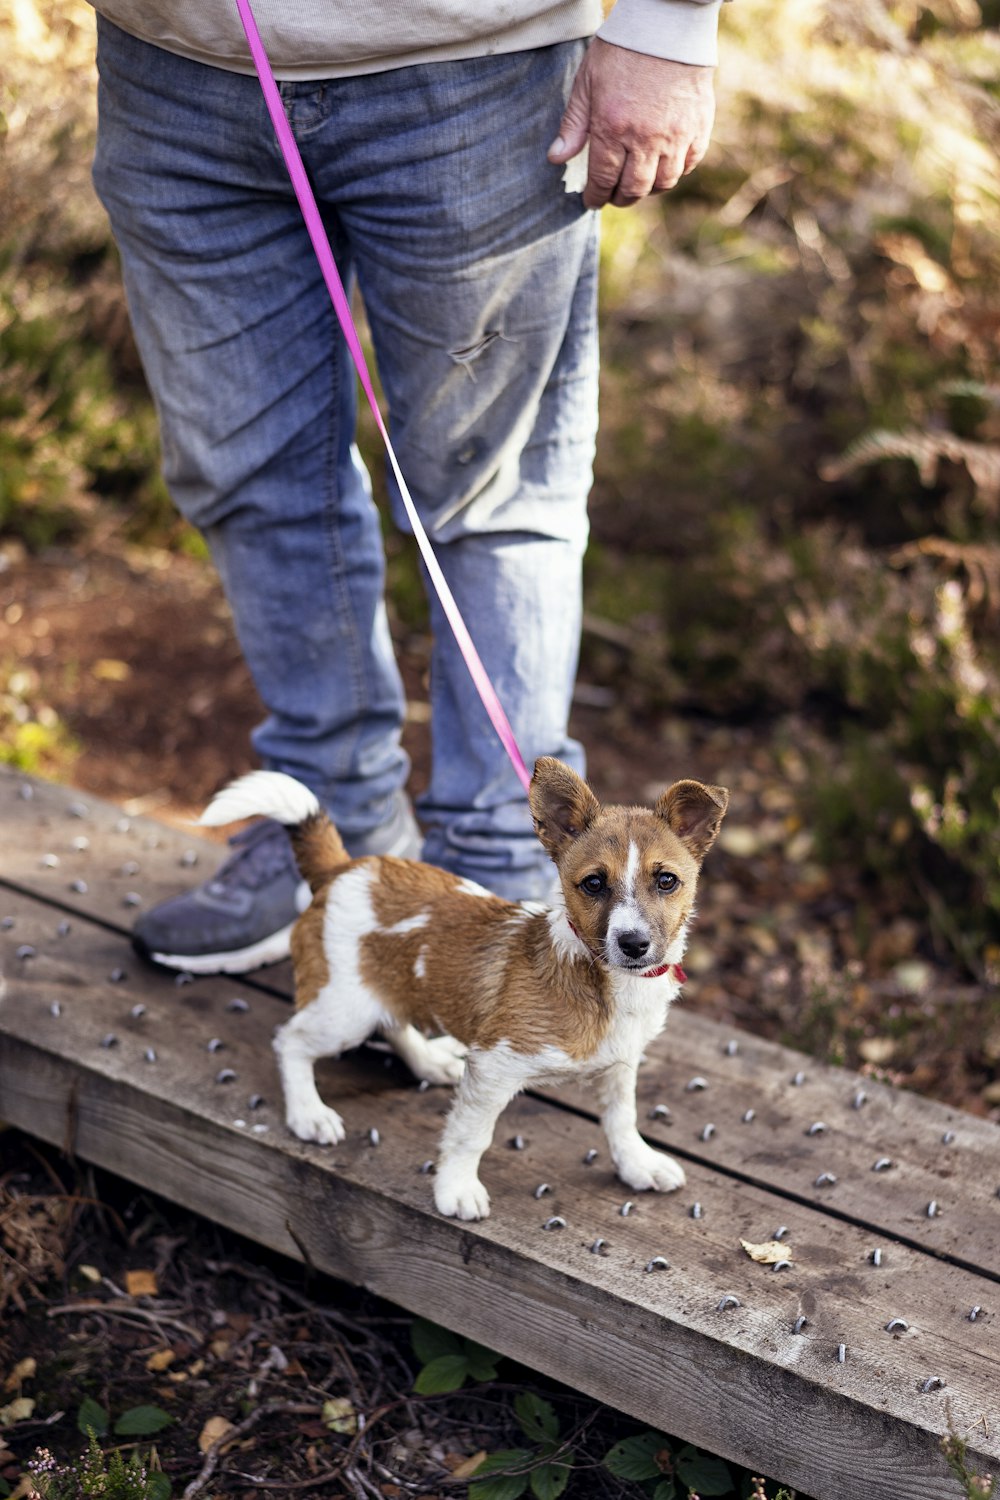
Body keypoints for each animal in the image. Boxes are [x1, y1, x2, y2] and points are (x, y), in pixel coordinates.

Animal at [199, 762, 728, 1218]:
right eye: (594, 884)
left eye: (667, 880)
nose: (634, 944)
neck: (601, 981)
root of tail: (341, 870)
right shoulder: (496, 1066)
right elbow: (472, 1135)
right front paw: (456, 1189)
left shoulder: (620, 1067)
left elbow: (622, 1120)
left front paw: (638, 1165)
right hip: (342, 1012)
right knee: (290, 1040)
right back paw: (308, 1113)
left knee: (392, 1020)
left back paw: (429, 1061)